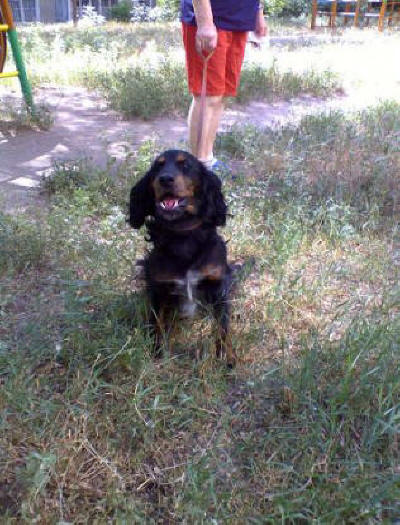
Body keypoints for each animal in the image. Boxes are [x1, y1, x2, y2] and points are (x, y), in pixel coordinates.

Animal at [128, 149, 235, 367]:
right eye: (158, 166)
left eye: (185, 165)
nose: (165, 179)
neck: (182, 233)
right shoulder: (159, 288)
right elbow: (156, 322)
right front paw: (156, 349)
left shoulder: (218, 285)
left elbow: (223, 325)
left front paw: (226, 354)